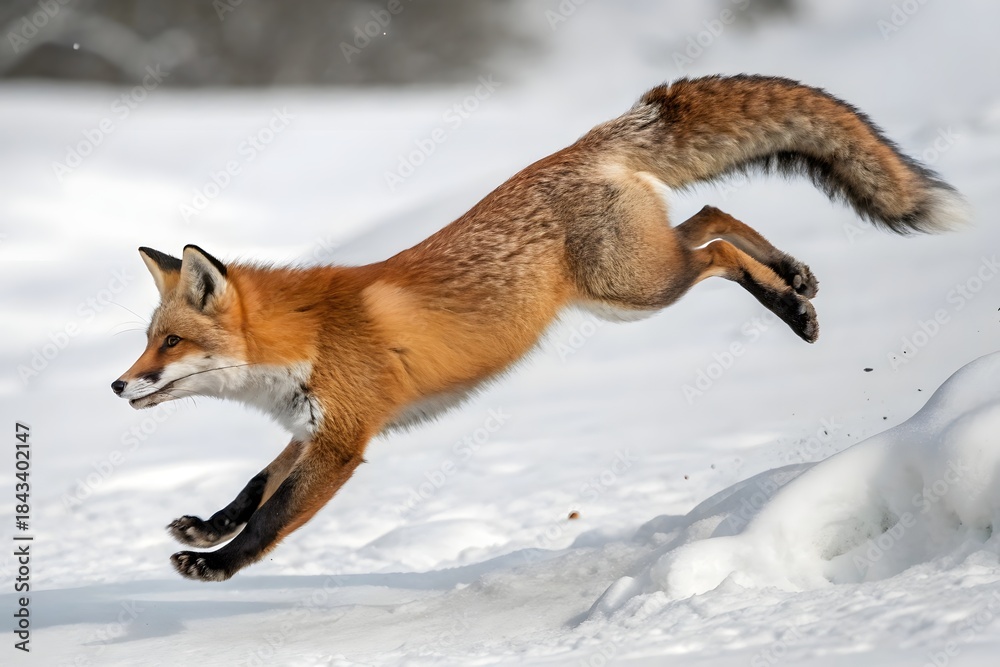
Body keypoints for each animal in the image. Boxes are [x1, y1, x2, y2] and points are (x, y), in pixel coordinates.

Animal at [113, 74, 969, 581]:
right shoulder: (311, 426)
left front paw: (218, 563)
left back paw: (787, 304)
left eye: (170, 342)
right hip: (638, 279)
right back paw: (794, 278)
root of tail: (579, 147)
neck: (303, 339)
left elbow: (276, 517)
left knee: (718, 244)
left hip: (638, 289)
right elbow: (255, 486)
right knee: (713, 215)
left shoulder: (343, 439)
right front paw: (206, 524)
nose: (118, 383)